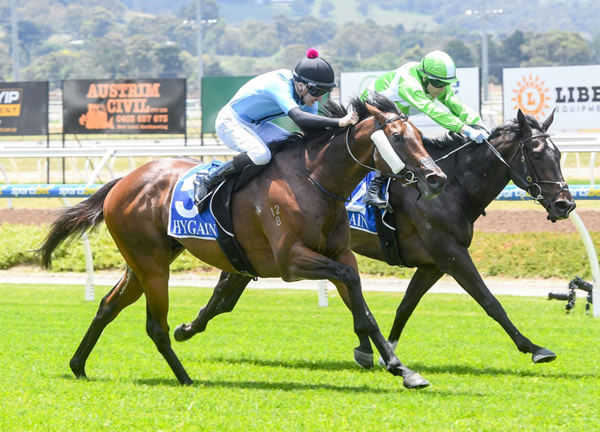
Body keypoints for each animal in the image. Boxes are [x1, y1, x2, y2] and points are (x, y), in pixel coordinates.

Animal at [37, 96, 446, 390]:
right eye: (398, 138)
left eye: (420, 136)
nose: (436, 177)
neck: (314, 180)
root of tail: (123, 181)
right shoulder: (291, 261)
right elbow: (348, 281)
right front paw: (379, 355)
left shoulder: (339, 252)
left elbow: (362, 299)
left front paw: (400, 367)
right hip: (152, 265)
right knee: (155, 326)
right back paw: (185, 377)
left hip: (144, 262)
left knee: (108, 305)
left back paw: (78, 365)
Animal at [350, 109, 580, 368]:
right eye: (537, 154)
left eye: (558, 154)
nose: (565, 204)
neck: (453, 186)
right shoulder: (452, 253)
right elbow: (490, 301)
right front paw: (534, 348)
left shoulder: (434, 264)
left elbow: (406, 305)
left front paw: (387, 352)